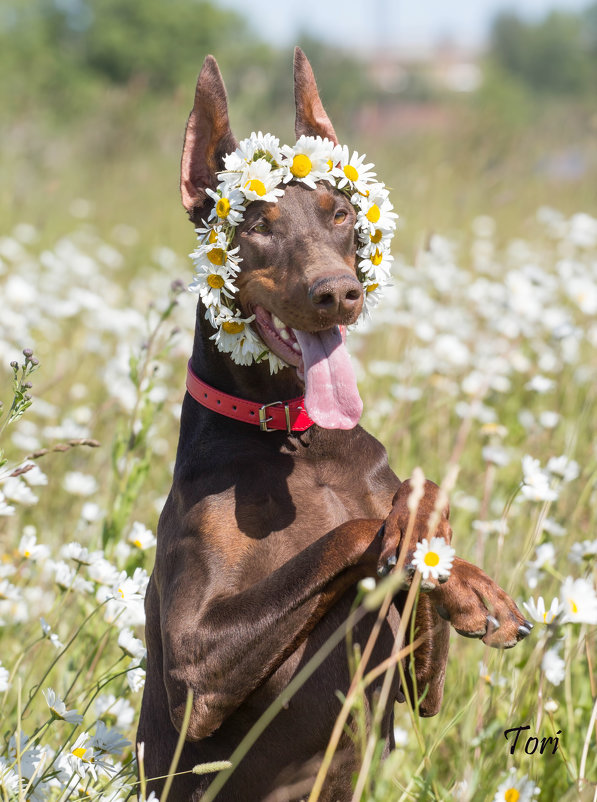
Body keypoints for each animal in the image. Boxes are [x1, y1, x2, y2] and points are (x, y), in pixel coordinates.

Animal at [136, 50, 532, 800]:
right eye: (256, 223)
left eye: (343, 212)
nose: (338, 292)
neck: (301, 440)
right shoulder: (194, 666)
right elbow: (345, 534)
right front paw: (406, 541)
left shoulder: (420, 686)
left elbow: (416, 509)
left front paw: (467, 580)